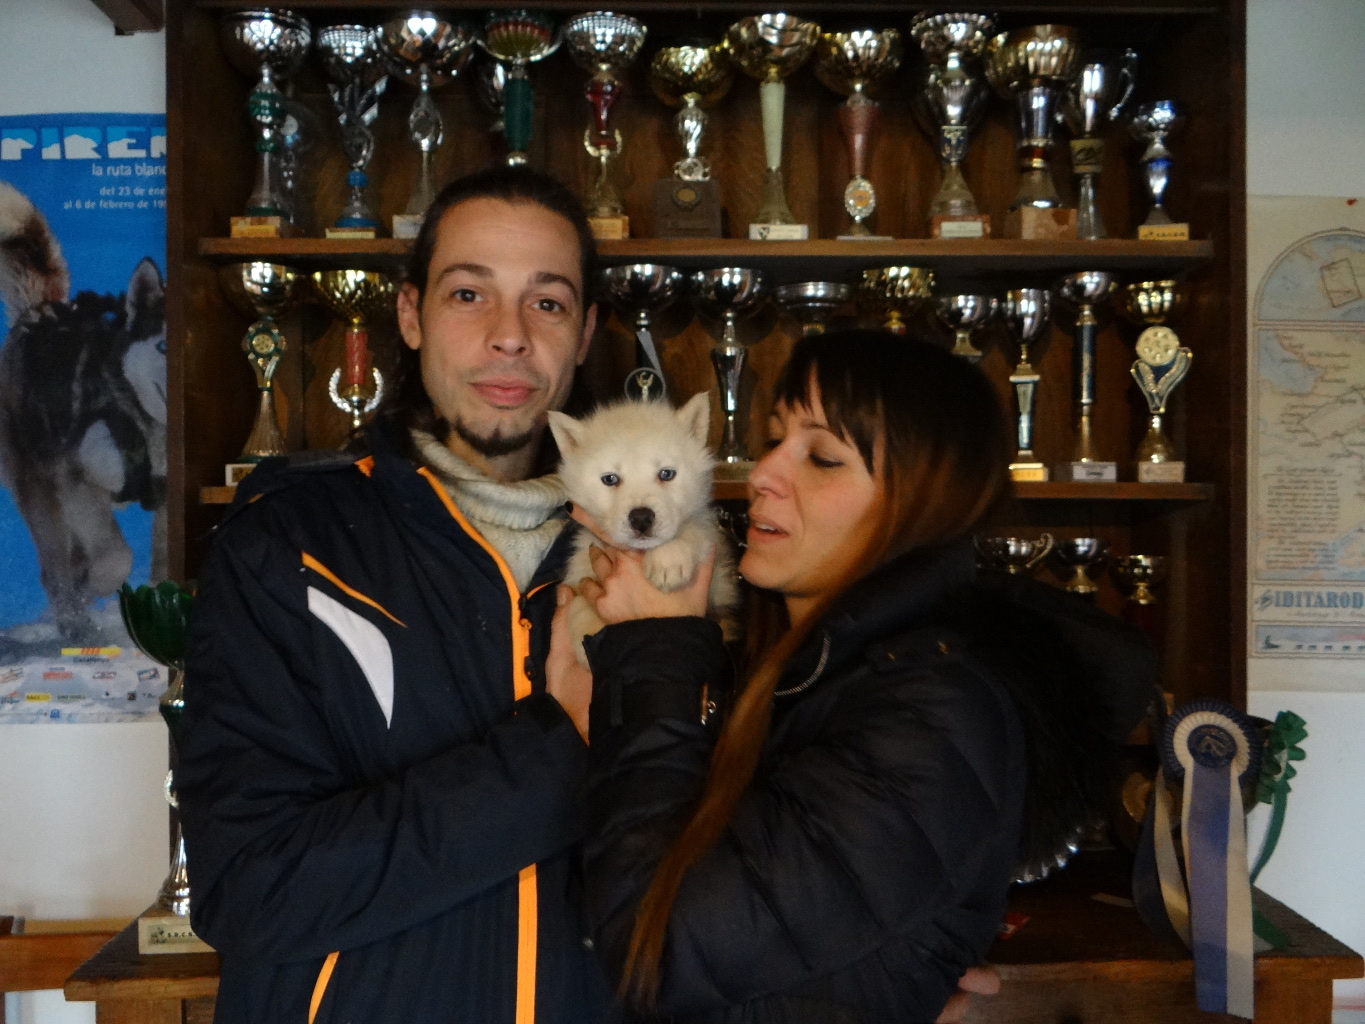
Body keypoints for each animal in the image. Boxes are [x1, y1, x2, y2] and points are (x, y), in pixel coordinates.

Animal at [0, 180, 167, 642]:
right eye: (164, 346)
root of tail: (41, 310)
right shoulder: (76, 480)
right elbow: (115, 558)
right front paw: (95, 585)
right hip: (43, 492)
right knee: (55, 569)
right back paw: (74, 621)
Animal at [548, 392, 739, 665]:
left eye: (666, 474)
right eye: (610, 479)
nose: (641, 519)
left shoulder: (717, 584)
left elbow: (694, 528)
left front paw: (667, 560)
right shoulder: (581, 571)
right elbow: (579, 602)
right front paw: (592, 634)